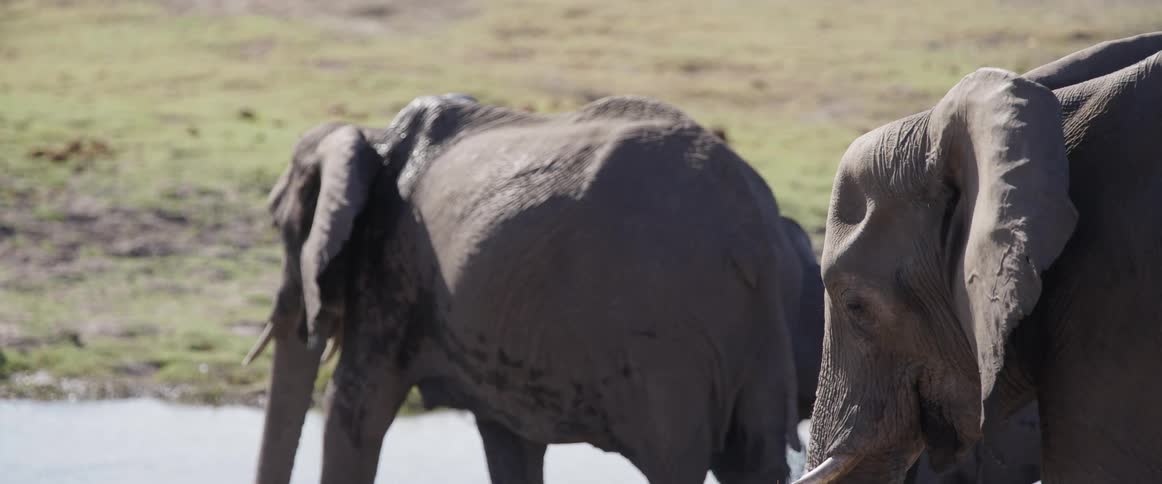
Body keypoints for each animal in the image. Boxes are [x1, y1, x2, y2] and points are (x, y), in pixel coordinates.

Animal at [247, 94, 811, 484]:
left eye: (278, 225)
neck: (373, 139)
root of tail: (753, 231)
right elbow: (510, 443)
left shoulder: (390, 273)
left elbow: (354, 411)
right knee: (751, 462)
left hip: (670, 340)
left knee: (677, 463)